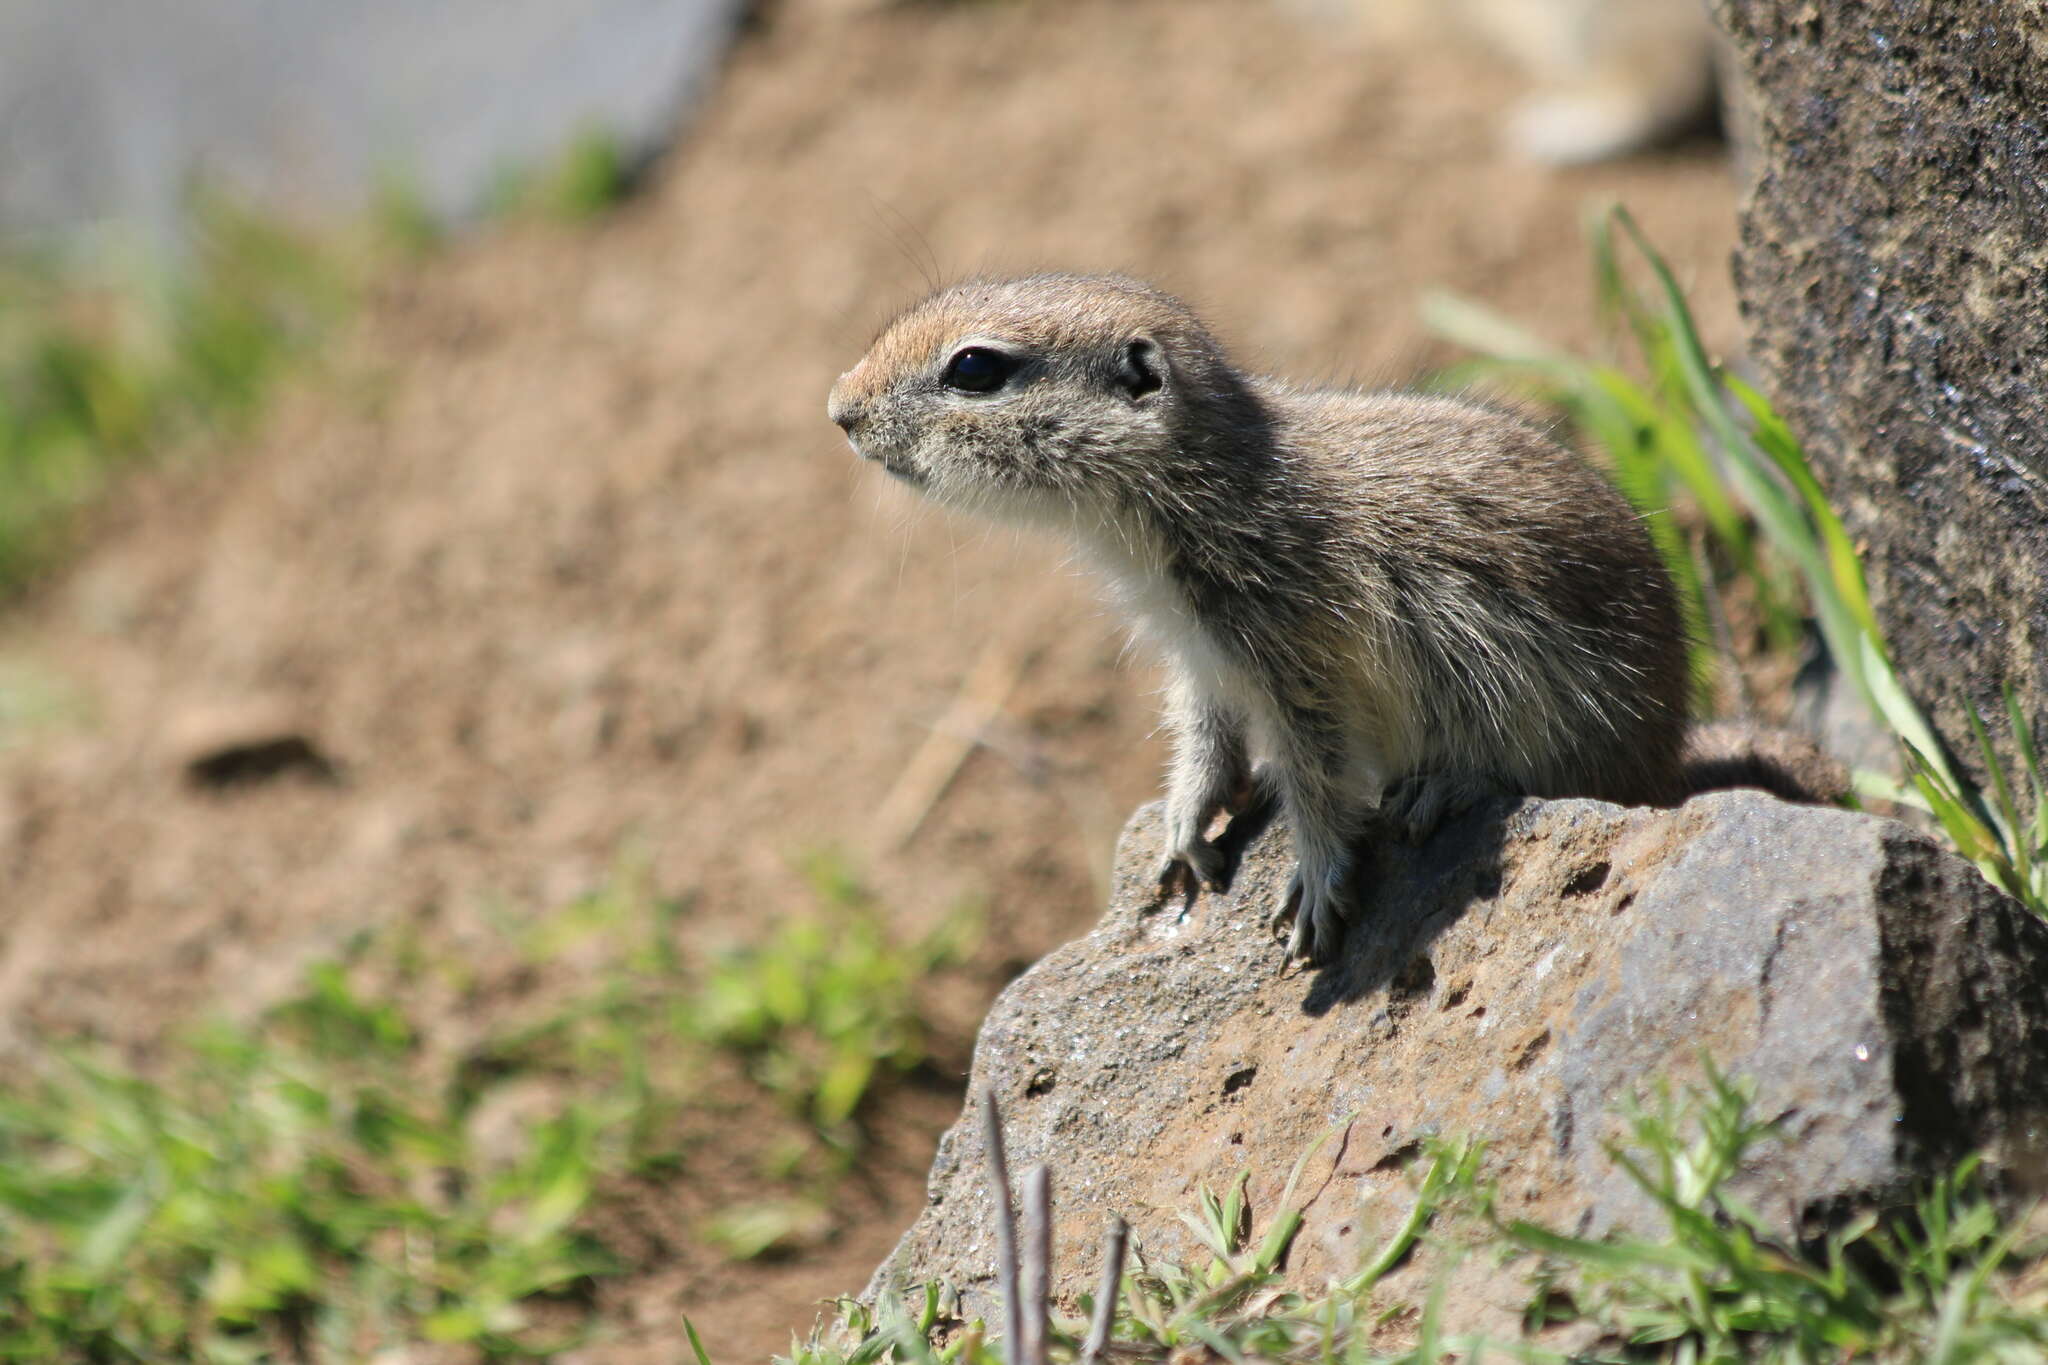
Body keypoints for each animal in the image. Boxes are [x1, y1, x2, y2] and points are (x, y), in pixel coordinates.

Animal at [823, 274, 1687, 961]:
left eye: (975, 367)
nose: (839, 410)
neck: (1202, 484)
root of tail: (1668, 742)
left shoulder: (1299, 662)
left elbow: (1319, 776)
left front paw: (1318, 880)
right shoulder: (1201, 659)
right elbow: (1206, 738)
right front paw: (1185, 825)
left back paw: (1442, 786)